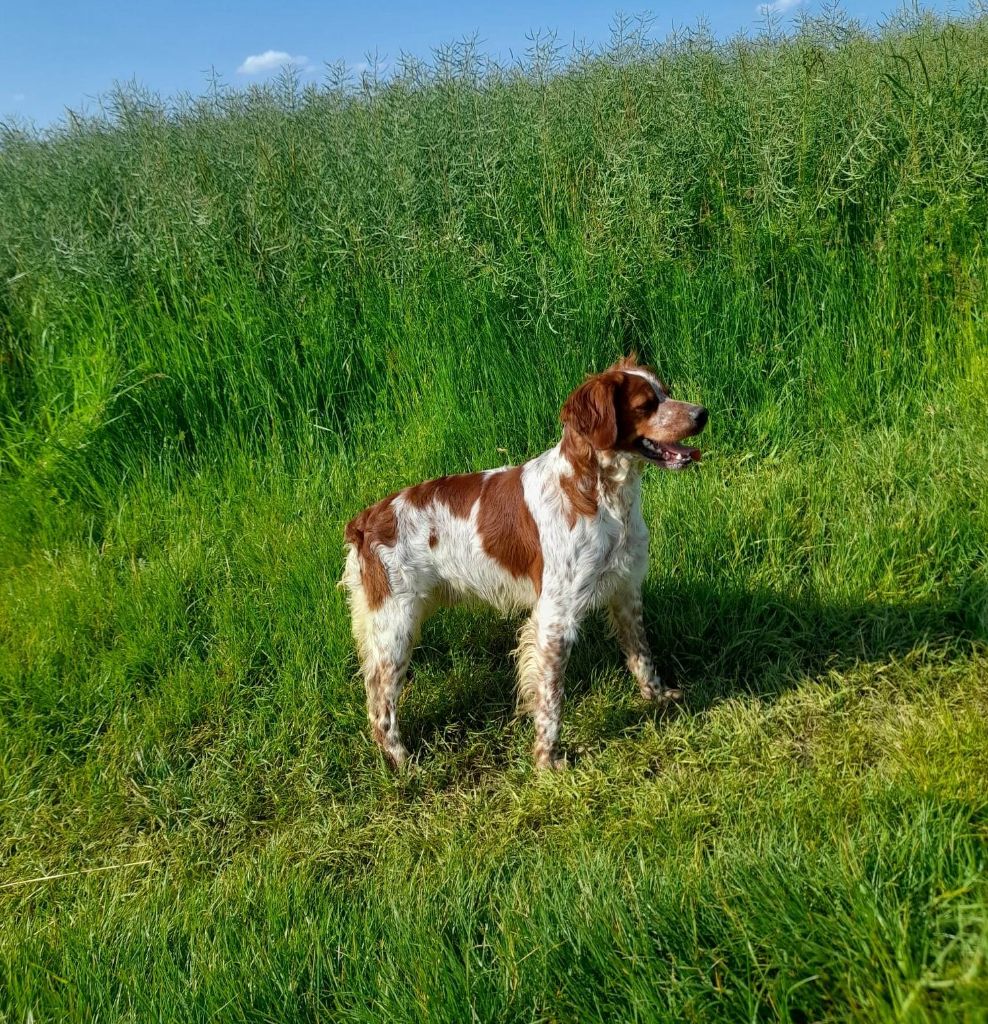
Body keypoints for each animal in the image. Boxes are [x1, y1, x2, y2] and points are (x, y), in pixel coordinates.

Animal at [344, 358, 704, 770]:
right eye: (646, 405)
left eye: (666, 393)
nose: (702, 414)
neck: (601, 496)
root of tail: (365, 521)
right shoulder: (555, 618)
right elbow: (551, 699)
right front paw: (548, 761)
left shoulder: (626, 591)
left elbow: (642, 654)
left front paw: (658, 697)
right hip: (396, 626)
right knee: (379, 698)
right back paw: (404, 762)